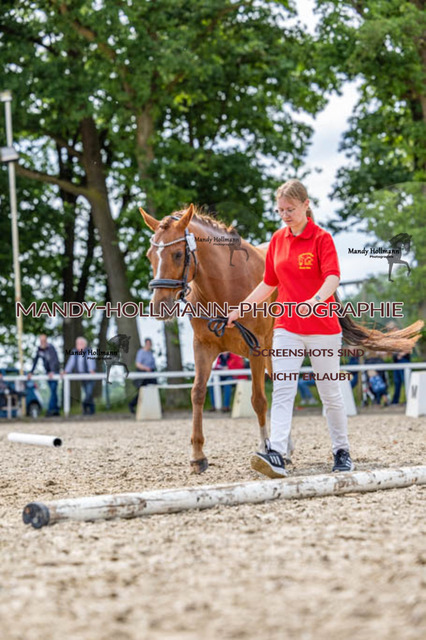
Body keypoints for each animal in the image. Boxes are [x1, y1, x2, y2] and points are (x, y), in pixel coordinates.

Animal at [140, 204, 423, 474]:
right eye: (149, 256)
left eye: (178, 254)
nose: (159, 306)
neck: (225, 285)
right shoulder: (203, 347)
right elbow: (197, 394)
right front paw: (198, 457)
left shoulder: (254, 349)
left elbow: (258, 400)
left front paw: (266, 447)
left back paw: (282, 449)